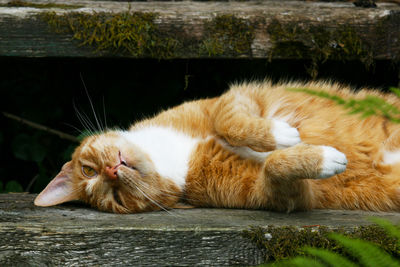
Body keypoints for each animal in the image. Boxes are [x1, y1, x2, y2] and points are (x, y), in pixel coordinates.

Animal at [35, 80, 400, 215]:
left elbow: (230, 122)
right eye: (116, 199)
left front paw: (280, 133)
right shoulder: (281, 194)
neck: (171, 157)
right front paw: (323, 157)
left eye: (88, 170)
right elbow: (274, 167)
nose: (112, 170)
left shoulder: (232, 98)